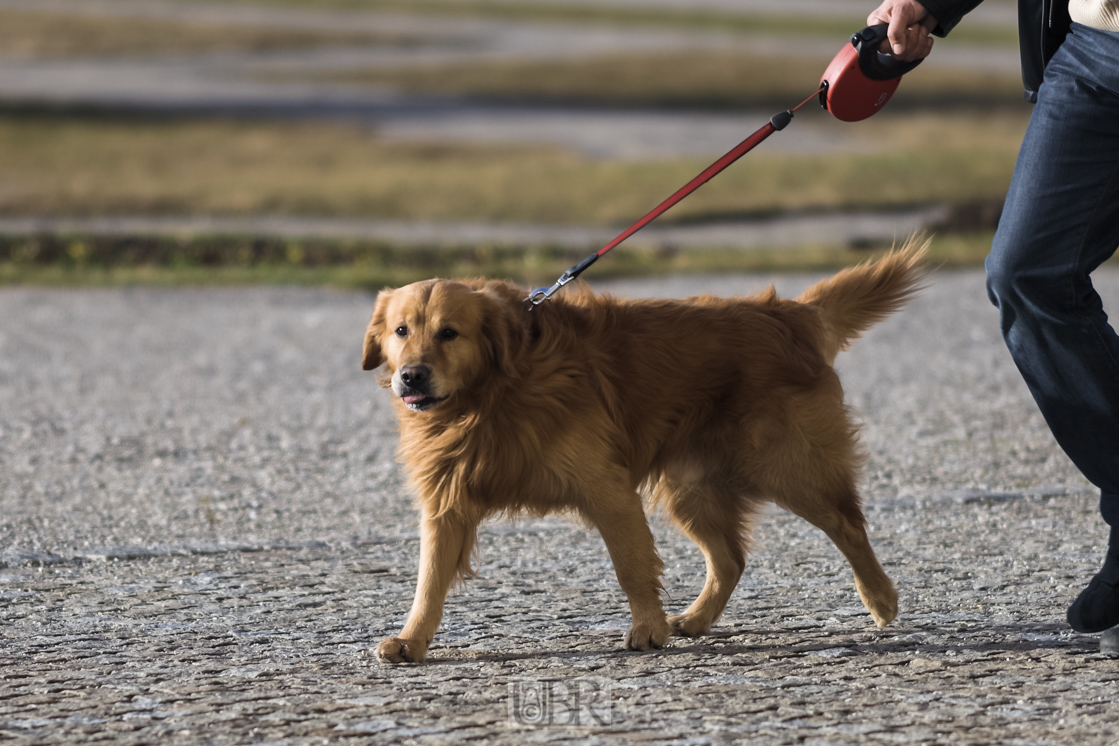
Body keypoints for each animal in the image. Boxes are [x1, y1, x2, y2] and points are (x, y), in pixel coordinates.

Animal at [360, 238, 926, 657]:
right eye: (401, 330)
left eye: (449, 333)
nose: (411, 376)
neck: (493, 394)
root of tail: (786, 313)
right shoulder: (448, 501)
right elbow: (429, 580)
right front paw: (412, 640)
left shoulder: (606, 487)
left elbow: (632, 565)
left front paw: (647, 631)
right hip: (692, 488)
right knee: (731, 559)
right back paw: (696, 619)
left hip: (790, 467)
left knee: (848, 526)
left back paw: (880, 599)